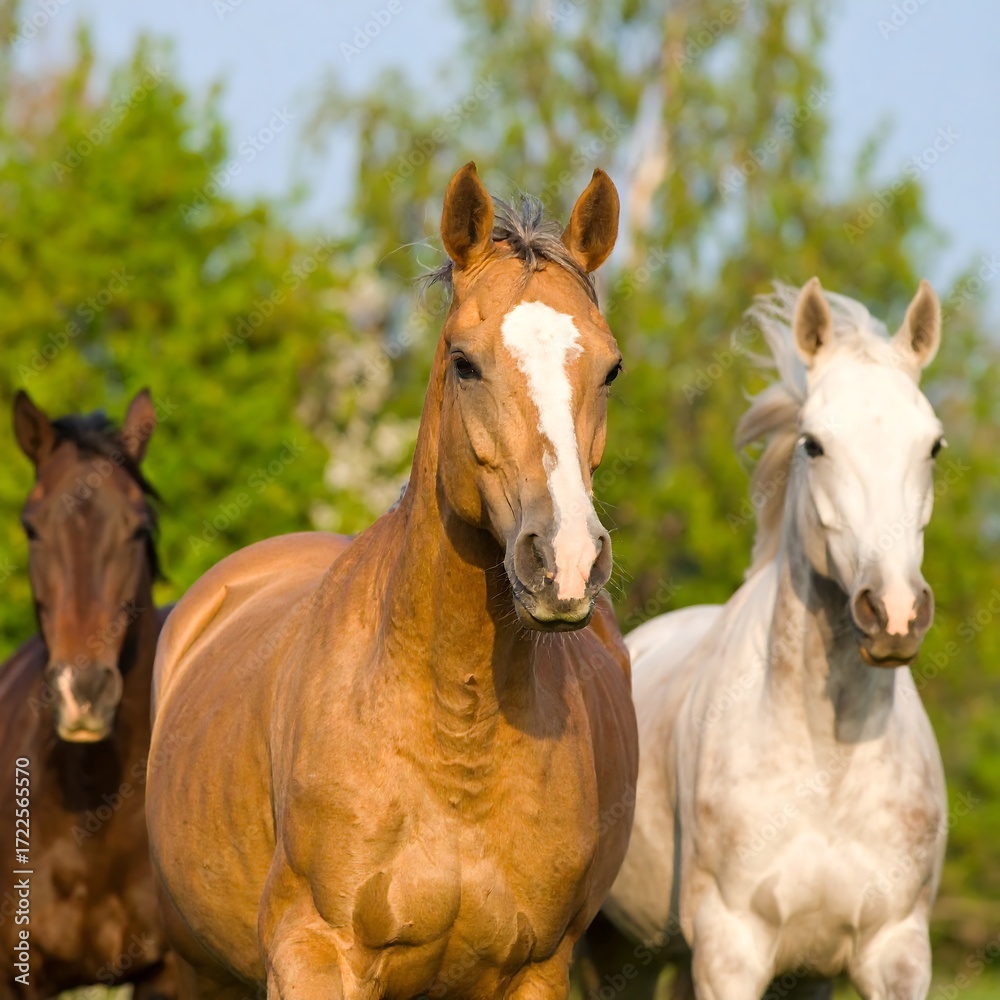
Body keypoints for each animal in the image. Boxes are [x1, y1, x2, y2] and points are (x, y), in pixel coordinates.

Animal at [146, 162, 639, 1000]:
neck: (454, 737)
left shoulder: (535, 973)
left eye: (609, 368)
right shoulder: (315, 953)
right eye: (465, 361)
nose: (567, 562)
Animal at [581, 279, 949, 1000]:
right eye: (814, 444)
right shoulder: (732, 949)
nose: (893, 612)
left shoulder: (895, 953)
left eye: (933, 446)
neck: (828, 764)